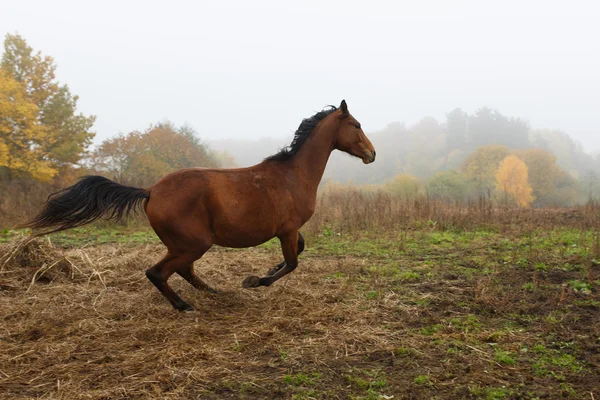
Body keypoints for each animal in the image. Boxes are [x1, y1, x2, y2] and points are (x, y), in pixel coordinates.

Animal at [23, 99, 376, 310]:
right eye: (357, 125)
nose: (372, 154)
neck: (294, 174)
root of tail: (151, 191)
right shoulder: (287, 229)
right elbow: (292, 263)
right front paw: (254, 281)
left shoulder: (288, 231)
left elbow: (298, 252)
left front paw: (259, 274)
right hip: (194, 243)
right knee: (158, 272)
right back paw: (184, 305)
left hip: (182, 244)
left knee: (182, 270)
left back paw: (213, 292)